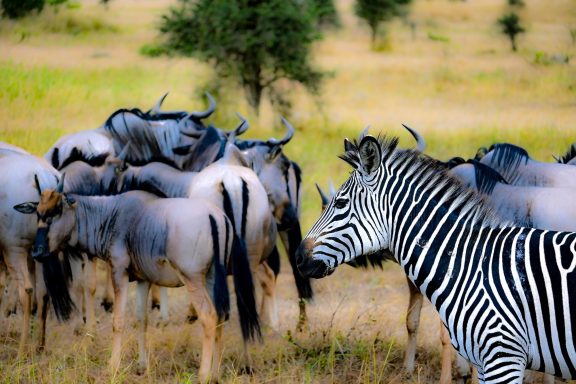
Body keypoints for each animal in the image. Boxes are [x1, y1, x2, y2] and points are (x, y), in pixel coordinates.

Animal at [300, 134, 576, 382]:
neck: (469, 261)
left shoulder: (503, 355)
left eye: (340, 204)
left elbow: (443, 337)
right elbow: (413, 320)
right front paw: (413, 370)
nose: (299, 256)